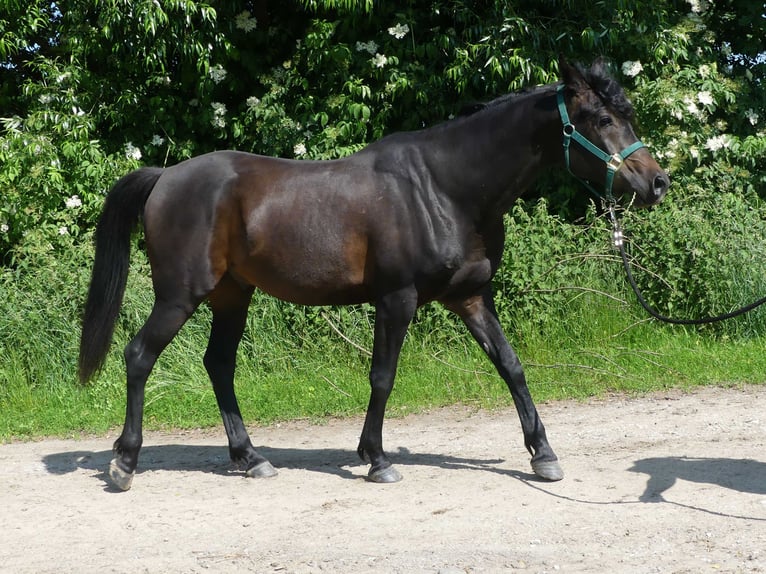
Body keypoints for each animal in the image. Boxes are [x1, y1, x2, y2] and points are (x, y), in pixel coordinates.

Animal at [79, 57, 669, 491]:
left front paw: (543, 454)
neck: (445, 188)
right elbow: (383, 376)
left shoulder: (472, 297)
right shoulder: (396, 299)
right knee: (139, 356)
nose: (657, 182)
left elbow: (511, 366)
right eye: (601, 120)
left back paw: (250, 458)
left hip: (232, 295)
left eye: (627, 116)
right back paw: (124, 464)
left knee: (218, 365)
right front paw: (377, 459)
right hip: (181, 295)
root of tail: (165, 177)